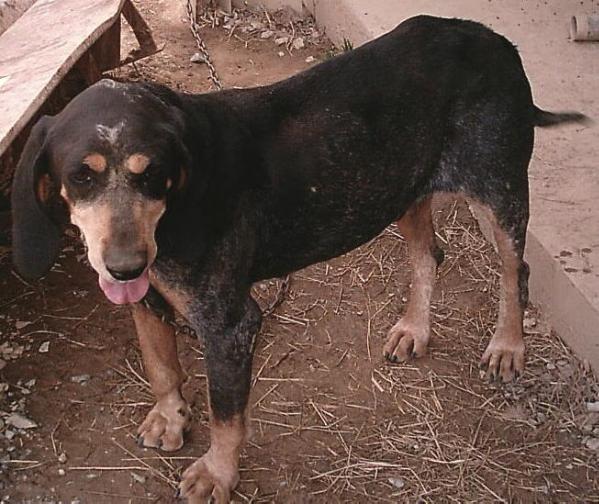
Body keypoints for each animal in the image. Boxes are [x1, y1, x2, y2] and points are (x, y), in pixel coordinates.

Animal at [10, 15, 592, 504]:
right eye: (80, 176)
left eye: (151, 173)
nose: (124, 266)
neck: (169, 217)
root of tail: (496, 41)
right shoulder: (148, 299)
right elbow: (160, 365)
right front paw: (170, 418)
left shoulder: (230, 325)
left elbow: (226, 415)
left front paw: (217, 474)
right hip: (398, 189)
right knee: (429, 255)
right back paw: (414, 329)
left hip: (498, 190)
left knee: (515, 270)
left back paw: (507, 346)